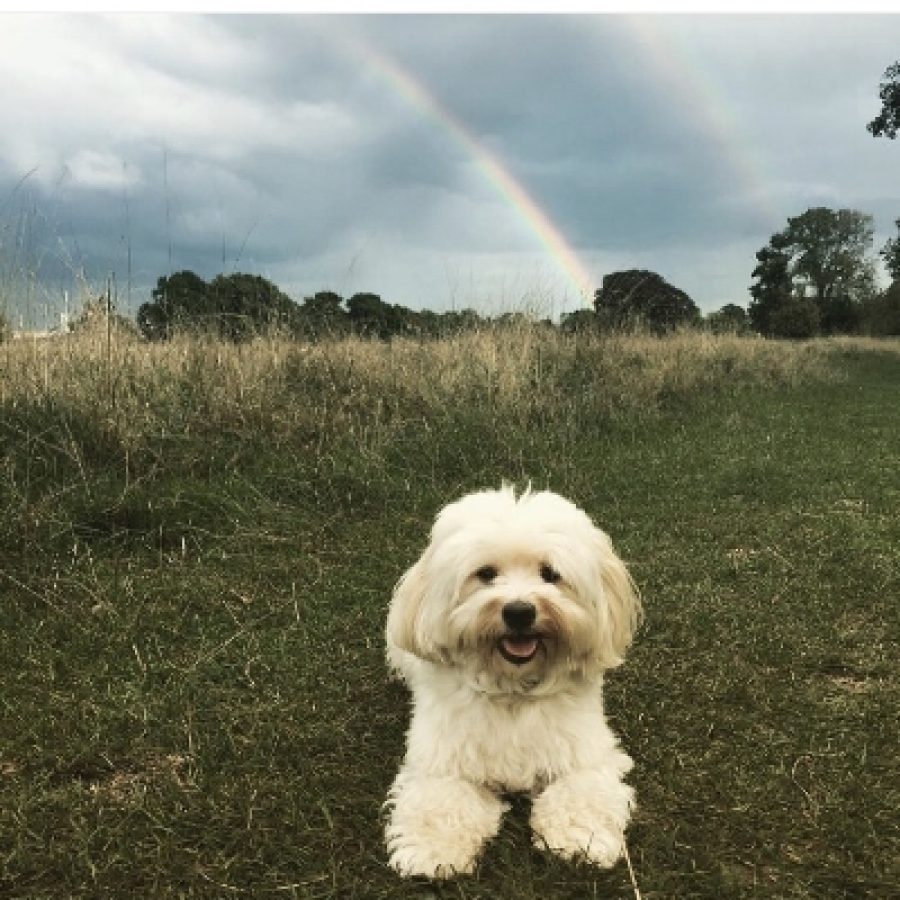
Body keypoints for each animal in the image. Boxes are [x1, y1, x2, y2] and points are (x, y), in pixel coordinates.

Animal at [380, 486, 640, 880]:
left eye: (550, 573)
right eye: (485, 573)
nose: (519, 611)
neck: (512, 689)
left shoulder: (587, 753)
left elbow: (580, 793)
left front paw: (581, 839)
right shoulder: (441, 760)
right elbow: (440, 803)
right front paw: (432, 850)